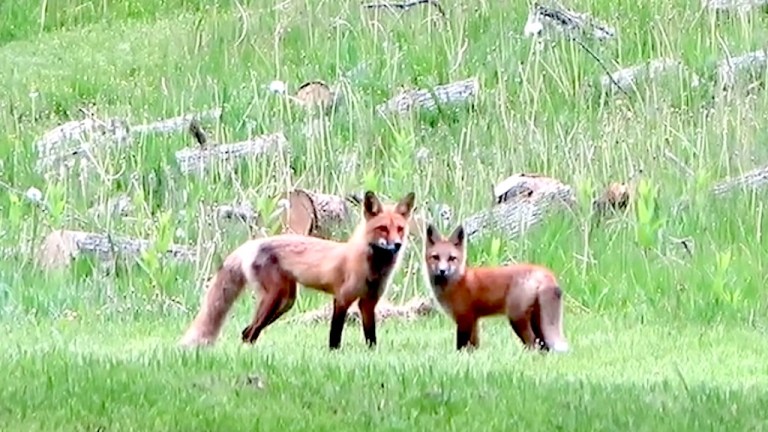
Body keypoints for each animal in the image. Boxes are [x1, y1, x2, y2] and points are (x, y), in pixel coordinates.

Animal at [179, 191, 416, 350]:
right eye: (383, 228)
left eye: (400, 229)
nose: (397, 245)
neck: (371, 268)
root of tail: (252, 244)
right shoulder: (342, 298)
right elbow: (335, 335)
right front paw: (334, 354)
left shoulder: (368, 303)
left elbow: (371, 336)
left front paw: (371, 353)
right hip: (275, 298)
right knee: (249, 332)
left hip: (285, 301)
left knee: (247, 331)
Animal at [420, 224, 568, 352]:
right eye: (436, 257)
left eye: (451, 258)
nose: (442, 271)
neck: (457, 281)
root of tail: (544, 271)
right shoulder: (474, 320)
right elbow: (474, 346)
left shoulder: (464, 318)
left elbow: (461, 346)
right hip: (537, 321)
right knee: (544, 346)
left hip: (517, 318)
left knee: (533, 344)